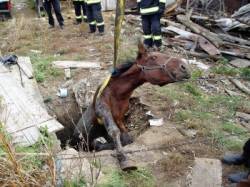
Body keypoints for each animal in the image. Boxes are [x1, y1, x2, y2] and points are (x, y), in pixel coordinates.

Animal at [73, 42, 190, 171]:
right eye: (153, 57)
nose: (184, 67)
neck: (115, 94)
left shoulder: (120, 116)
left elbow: (126, 136)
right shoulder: (103, 109)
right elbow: (114, 131)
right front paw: (122, 157)